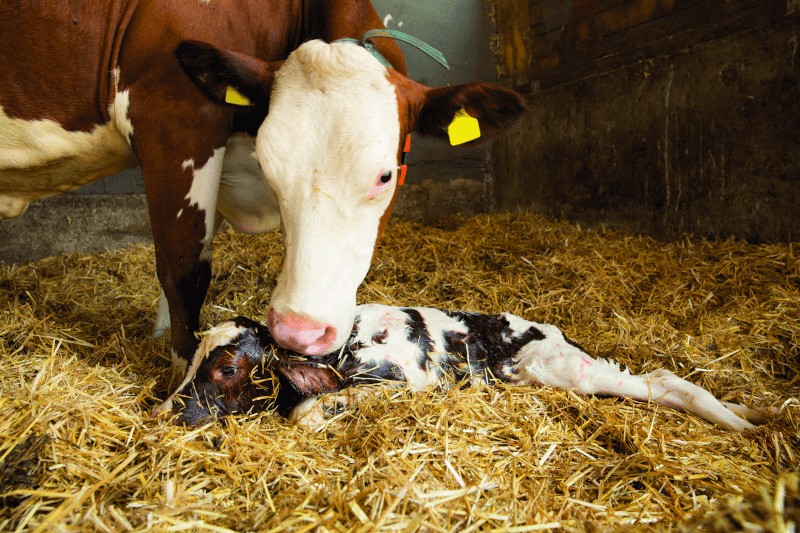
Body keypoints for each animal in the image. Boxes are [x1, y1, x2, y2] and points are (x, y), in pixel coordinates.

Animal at [0, 0, 528, 382]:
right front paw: (183, 373)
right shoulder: (175, 118)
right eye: (270, 167)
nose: (300, 332)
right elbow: (184, 268)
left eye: (384, 175)